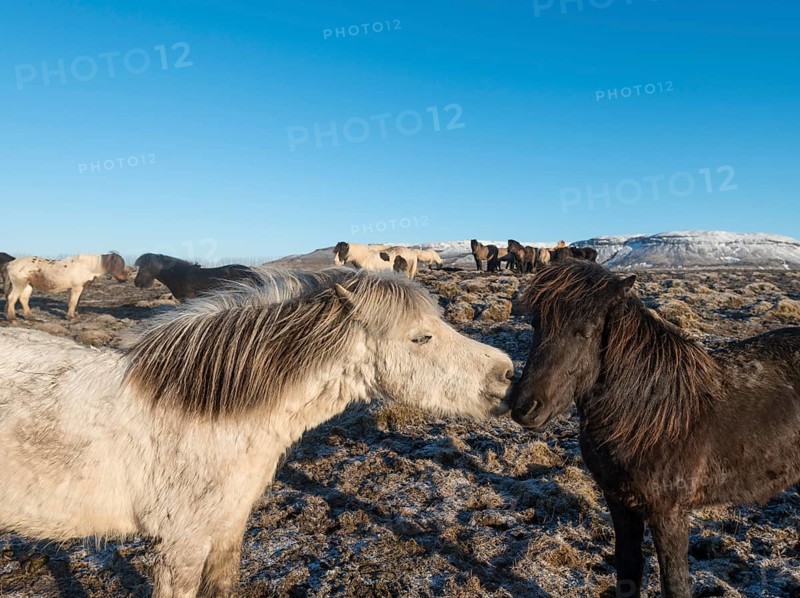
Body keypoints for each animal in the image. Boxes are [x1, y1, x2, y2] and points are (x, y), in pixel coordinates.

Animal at [508, 260, 800, 597]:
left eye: (585, 331)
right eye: (536, 325)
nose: (525, 407)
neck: (651, 416)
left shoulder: (669, 513)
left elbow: (674, 584)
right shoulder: (620, 502)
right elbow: (628, 567)